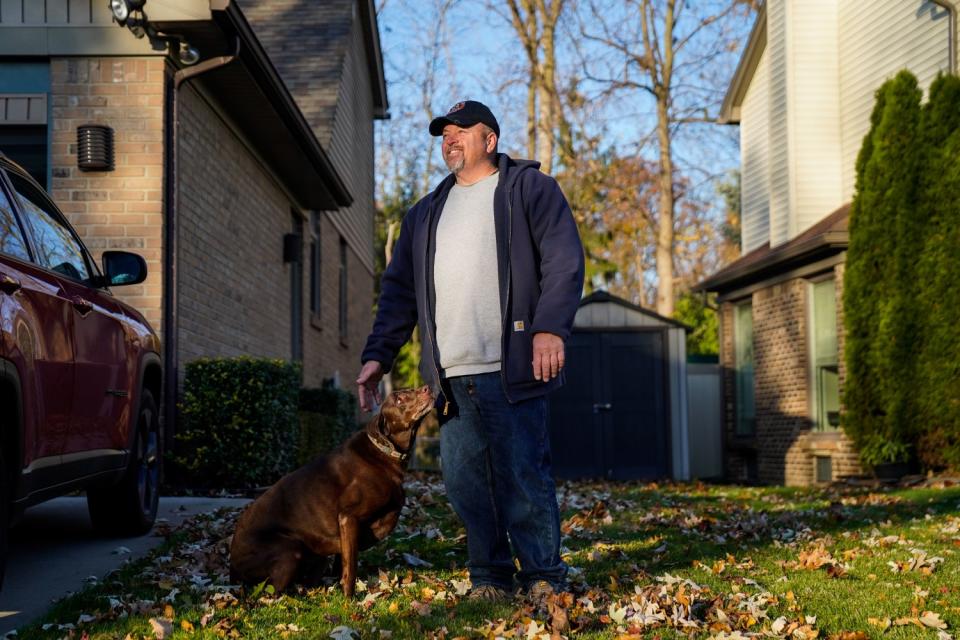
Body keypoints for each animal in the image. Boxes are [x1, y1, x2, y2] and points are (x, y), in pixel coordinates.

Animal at [229, 382, 432, 596]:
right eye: (399, 400)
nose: (427, 388)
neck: (383, 452)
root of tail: (232, 569)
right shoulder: (348, 517)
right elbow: (351, 565)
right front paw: (349, 597)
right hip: (289, 552)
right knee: (273, 591)